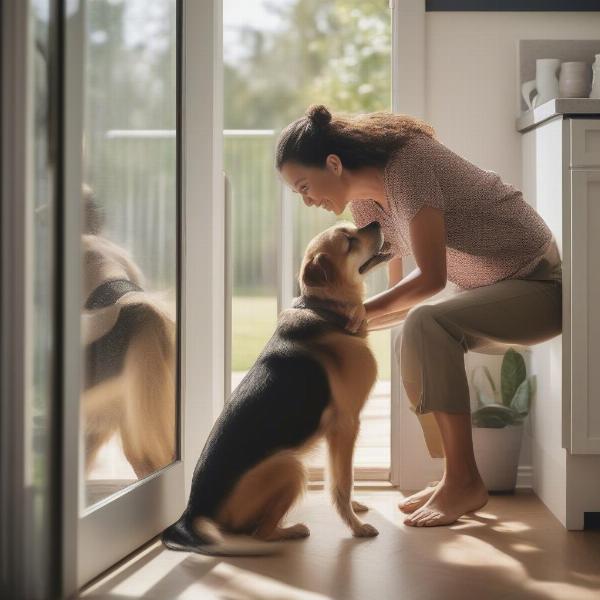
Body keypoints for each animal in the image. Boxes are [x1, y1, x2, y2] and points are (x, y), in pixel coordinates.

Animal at [162, 221, 392, 556]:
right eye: (349, 241)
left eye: (352, 229)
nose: (375, 222)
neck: (325, 311)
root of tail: (192, 511)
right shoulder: (346, 425)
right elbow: (342, 484)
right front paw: (356, 527)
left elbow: (338, 480)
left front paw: (357, 506)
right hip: (289, 466)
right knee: (260, 533)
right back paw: (291, 530)